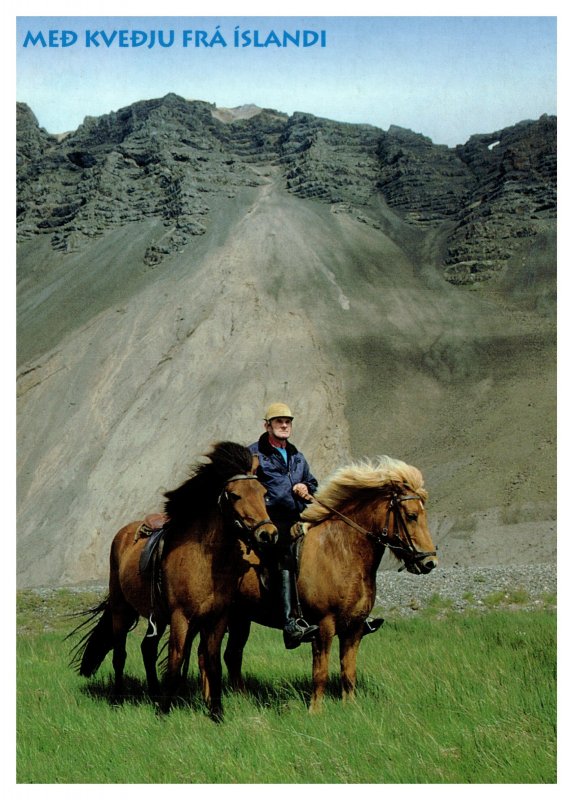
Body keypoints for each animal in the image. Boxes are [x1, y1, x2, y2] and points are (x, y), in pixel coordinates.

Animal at [67, 440, 278, 720]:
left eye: (263, 492)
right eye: (234, 495)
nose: (268, 534)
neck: (204, 561)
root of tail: (123, 534)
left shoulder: (217, 618)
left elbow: (212, 662)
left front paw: (216, 713)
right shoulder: (181, 617)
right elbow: (176, 658)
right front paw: (164, 712)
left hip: (156, 616)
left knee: (147, 648)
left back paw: (154, 693)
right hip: (122, 610)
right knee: (120, 654)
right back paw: (118, 699)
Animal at [223, 456, 438, 712]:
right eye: (411, 515)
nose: (429, 562)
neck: (341, 552)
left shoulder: (354, 628)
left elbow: (348, 671)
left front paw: (350, 706)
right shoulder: (323, 627)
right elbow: (321, 672)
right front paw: (315, 711)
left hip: (240, 619)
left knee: (232, 655)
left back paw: (241, 698)